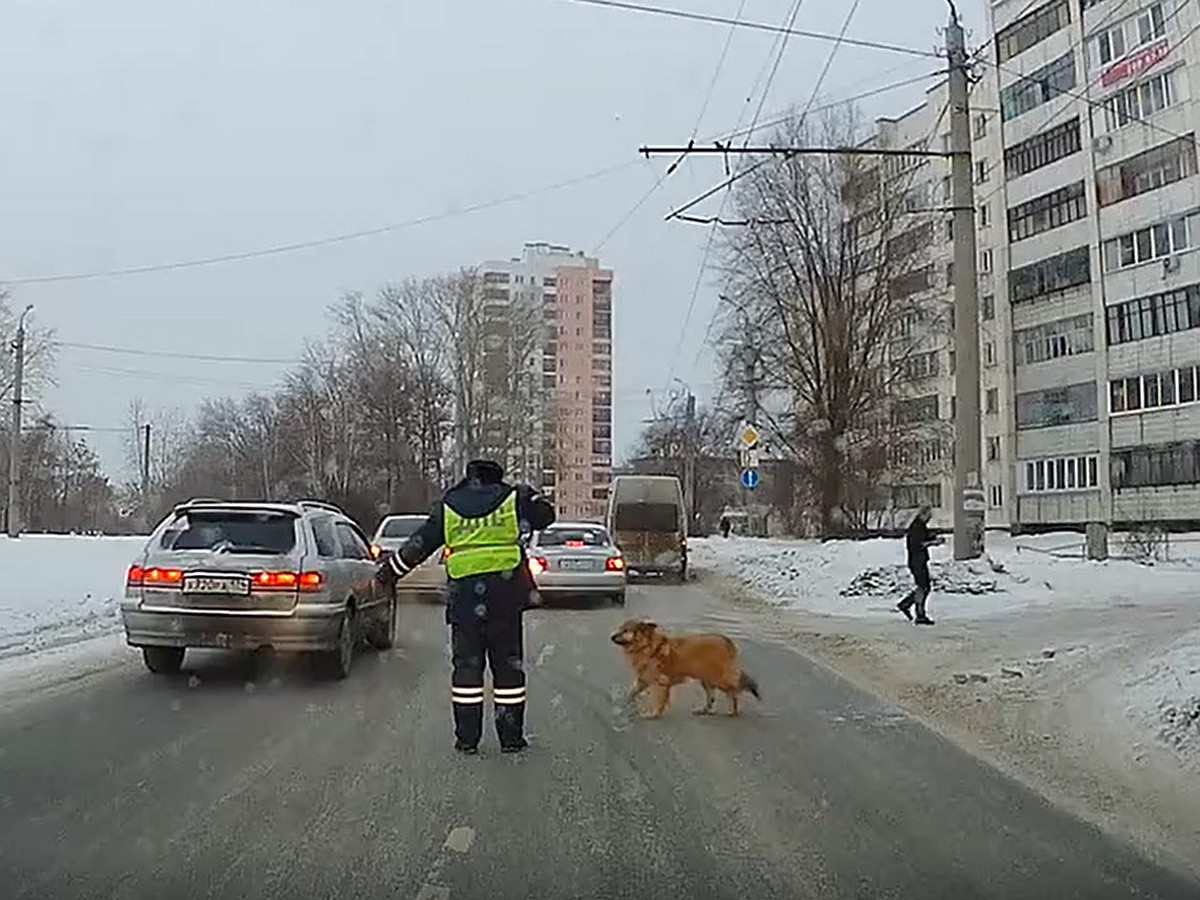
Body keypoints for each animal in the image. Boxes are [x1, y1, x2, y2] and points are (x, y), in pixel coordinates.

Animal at [609, 619, 758, 720]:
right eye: (620, 628)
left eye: (626, 630)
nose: (612, 637)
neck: (646, 646)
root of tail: (726, 640)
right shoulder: (643, 680)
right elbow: (632, 692)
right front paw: (624, 704)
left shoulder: (660, 683)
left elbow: (658, 701)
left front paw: (653, 714)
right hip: (706, 679)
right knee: (711, 697)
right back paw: (704, 710)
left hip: (718, 678)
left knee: (733, 691)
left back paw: (733, 711)